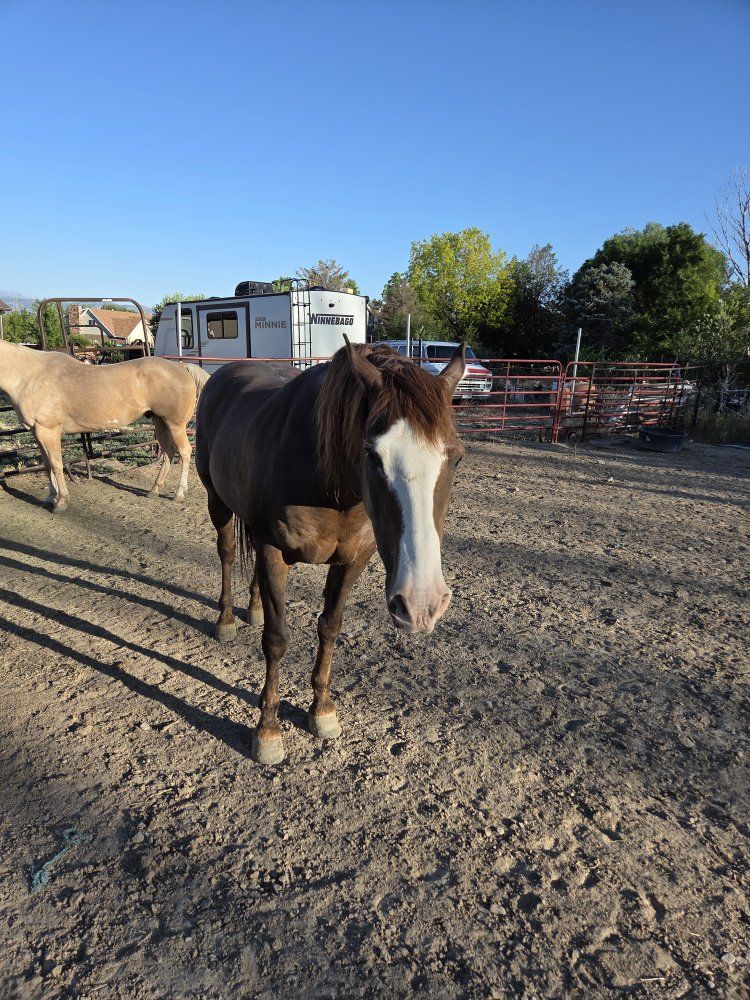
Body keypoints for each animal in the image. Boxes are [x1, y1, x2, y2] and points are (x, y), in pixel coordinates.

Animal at [0, 340, 210, 510]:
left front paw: (61, 502)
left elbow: (56, 464)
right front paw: (50, 498)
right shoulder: (37, 432)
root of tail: (182, 367)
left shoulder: (48, 430)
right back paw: (154, 490)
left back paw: (179, 494)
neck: (30, 374)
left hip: (176, 425)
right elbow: (46, 465)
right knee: (167, 452)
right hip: (161, 422)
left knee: (184, 452)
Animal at [195, 338, 466, 764]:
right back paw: (225, 620)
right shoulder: (273, 551)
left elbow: (330, 627)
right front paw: (268, 731)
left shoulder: (352, 560)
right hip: (217, 502)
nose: (422, 604)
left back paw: (253, 608)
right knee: (226, 553)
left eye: (455, 457)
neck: (328, 479)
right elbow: (277, 638)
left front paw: (321, 711)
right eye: (373, 456)